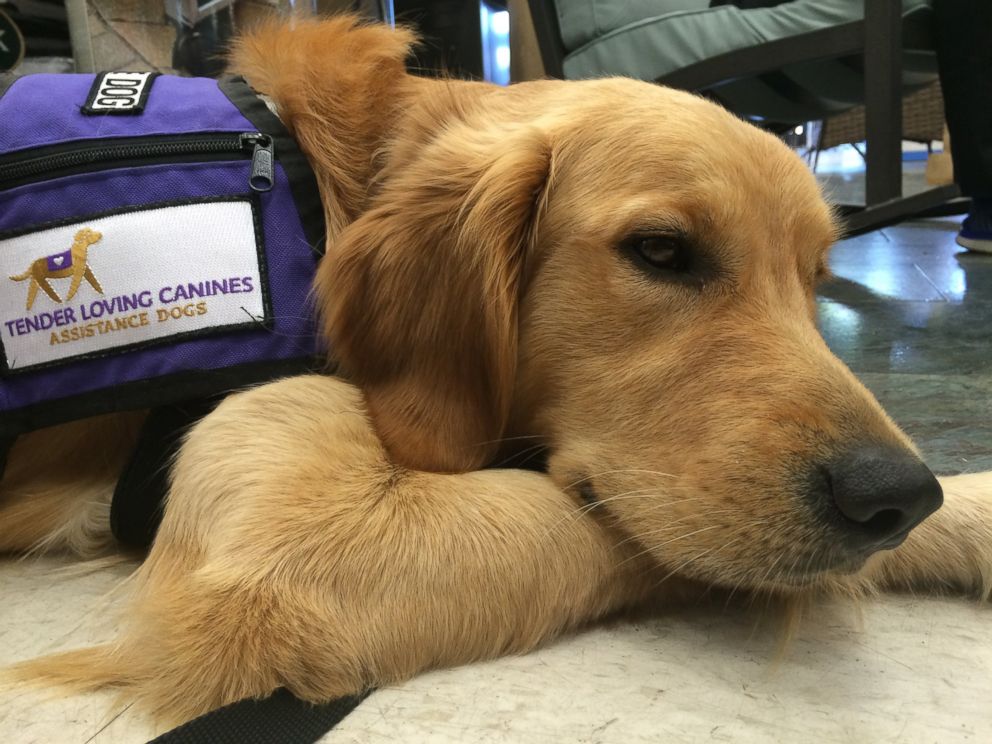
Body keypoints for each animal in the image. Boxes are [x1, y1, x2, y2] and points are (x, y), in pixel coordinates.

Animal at [0, 16, 988, 728]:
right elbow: (627, 532)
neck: (316, 187)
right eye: (662, 251)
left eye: (813, 278)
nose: (894, 495)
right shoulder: (276, 551)